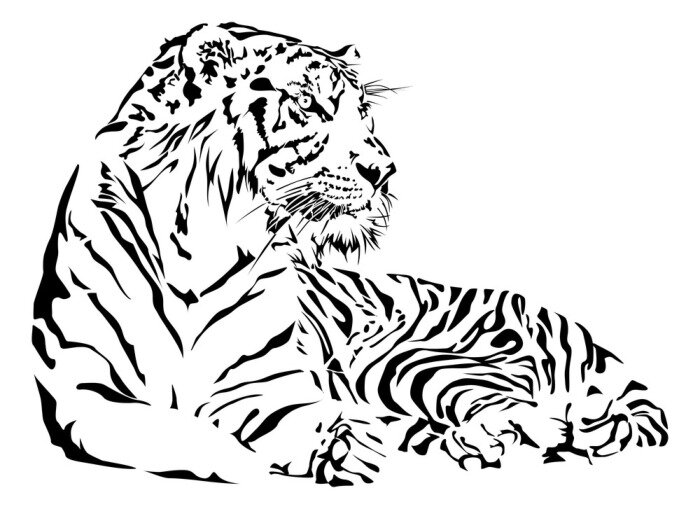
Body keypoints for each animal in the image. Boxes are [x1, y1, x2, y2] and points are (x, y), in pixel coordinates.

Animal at [32, 21, 668, 486]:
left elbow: (281, 412)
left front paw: (336, 445)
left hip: (430, 364)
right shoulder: (83, 395)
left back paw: (499, 441)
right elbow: (166, 429)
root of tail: (570, 325)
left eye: (362, 113)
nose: (384, 168)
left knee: (528, 419)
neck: (200, 246)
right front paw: (253, 461)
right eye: (310, 107)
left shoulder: (264, 384)